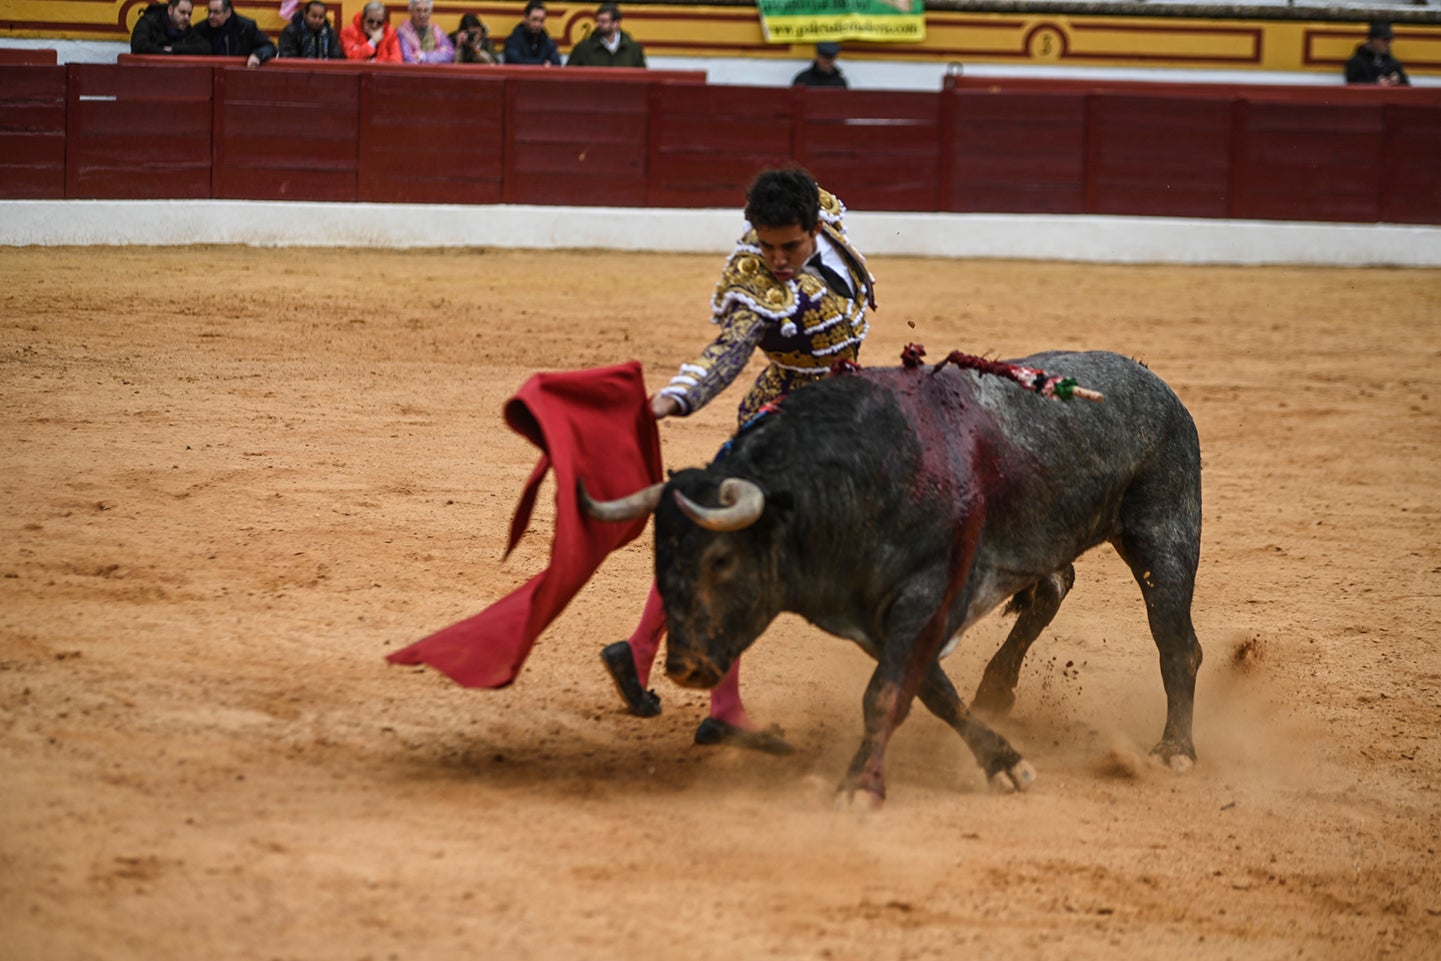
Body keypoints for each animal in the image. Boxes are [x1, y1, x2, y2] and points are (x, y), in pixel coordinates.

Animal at [579, 350, 1198, 806]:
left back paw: (1175, 751)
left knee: (1176, 642)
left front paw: (859, 787)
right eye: (661, 561)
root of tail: (1155, 382)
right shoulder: (882, 618)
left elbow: (885, 695)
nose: (685, 666)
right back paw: (997, 689)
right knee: (1054, 585)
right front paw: (1002, 761)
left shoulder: (924, 599)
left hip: (1164, 533)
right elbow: (931, 692)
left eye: (721, 560)